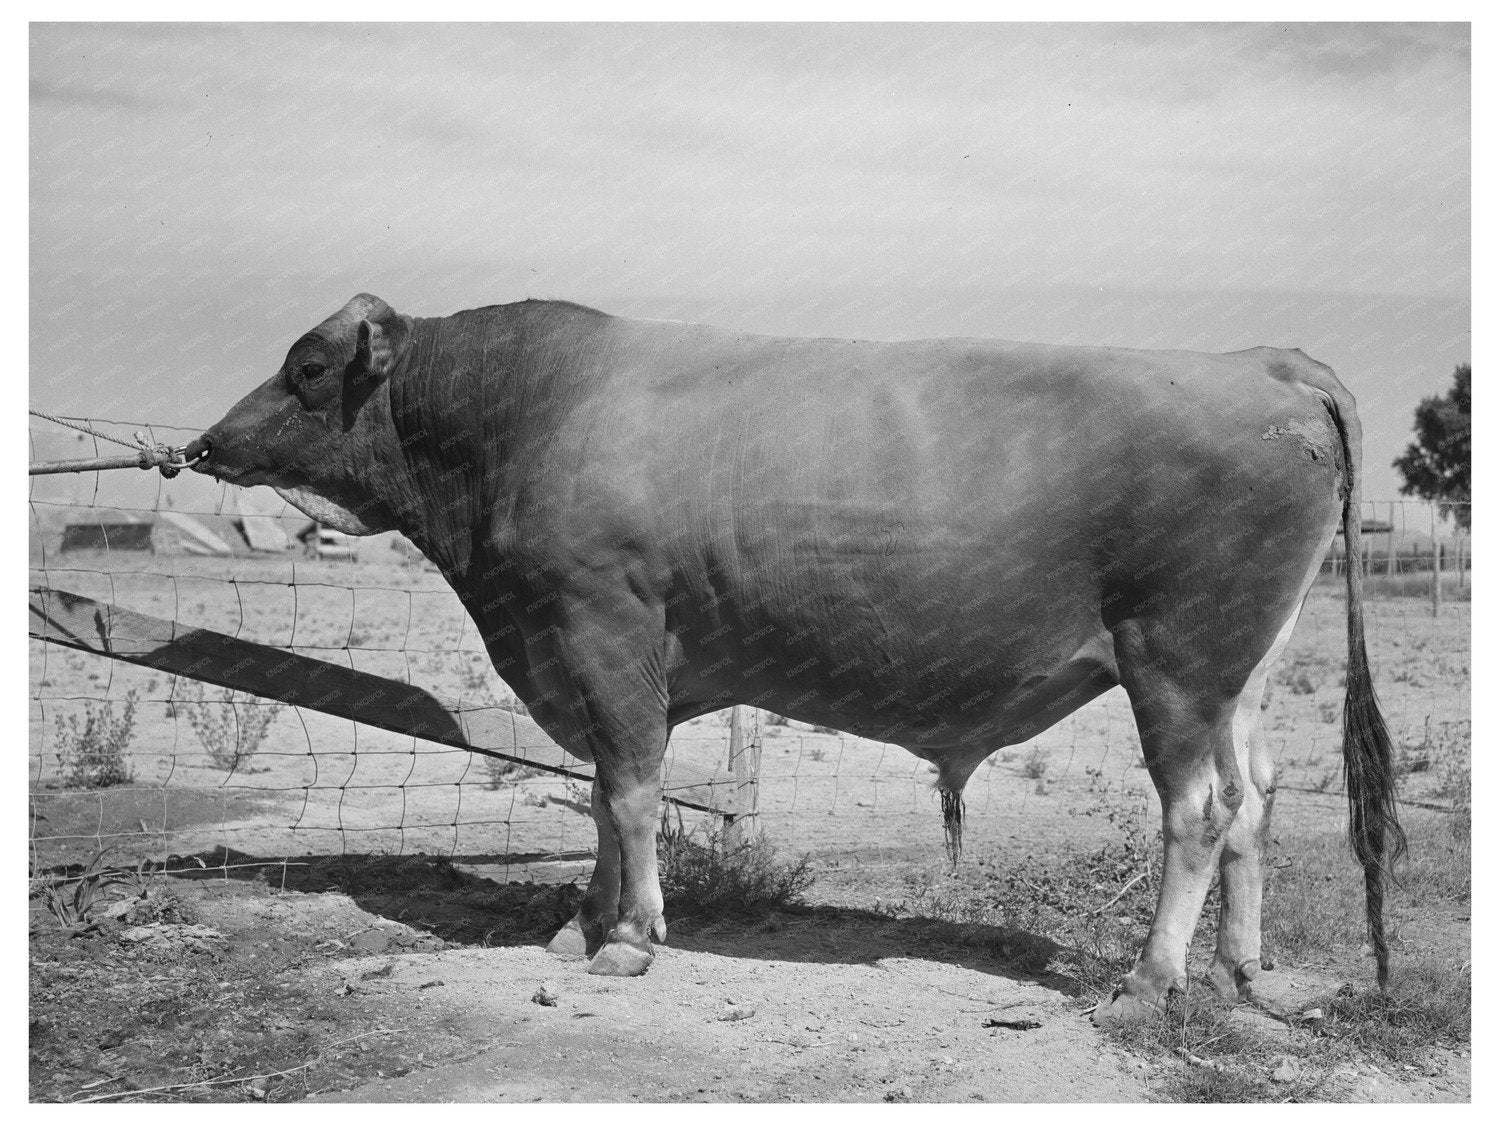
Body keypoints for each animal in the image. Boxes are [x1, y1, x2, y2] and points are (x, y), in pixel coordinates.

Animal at [182, 294, 1404, 1022]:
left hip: (1176, 665)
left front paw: (631, 939)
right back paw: (1243, 970)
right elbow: (602, 797)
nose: (201, 444)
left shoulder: (603, 632)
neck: (527, 415)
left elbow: (631, 794)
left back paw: (1147, 980)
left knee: (1197, 811)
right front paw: (579, 922)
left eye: (306, 366)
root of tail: (1265, 362)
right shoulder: (592, 661)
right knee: (1254, 804)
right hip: (1239, 674)